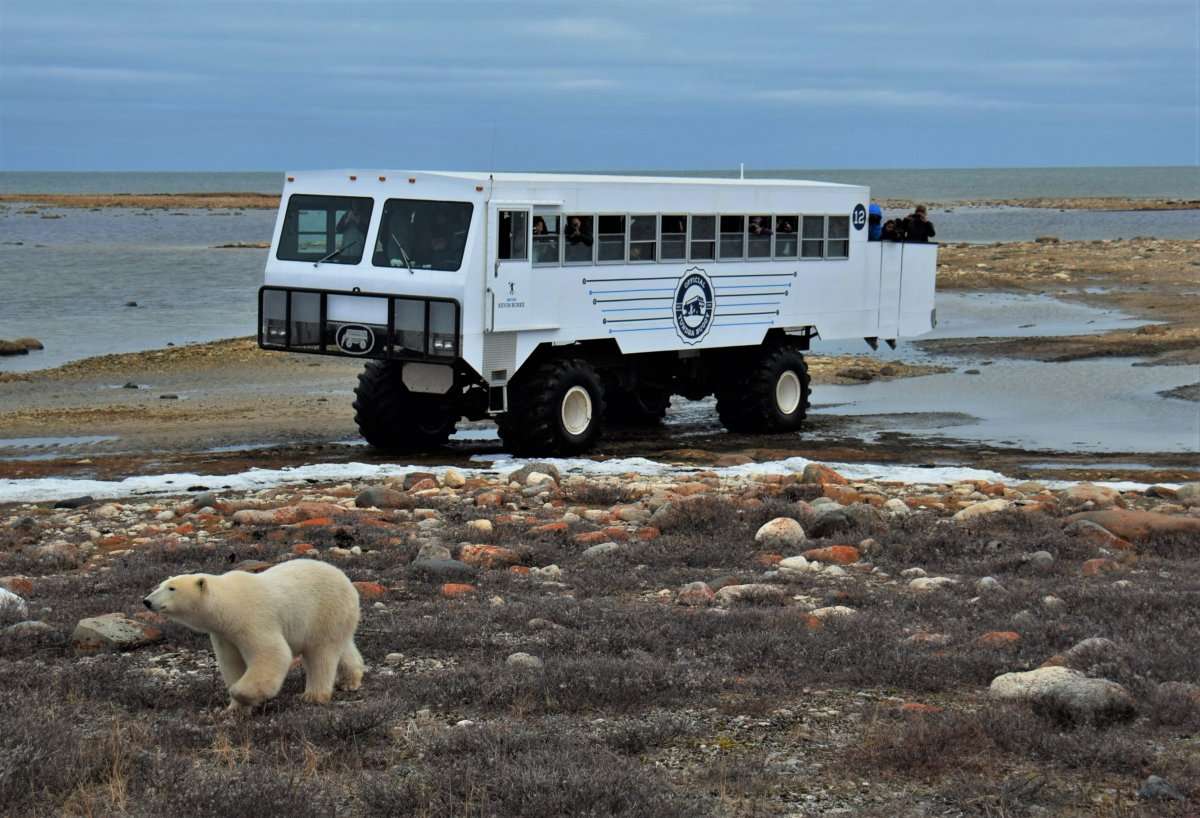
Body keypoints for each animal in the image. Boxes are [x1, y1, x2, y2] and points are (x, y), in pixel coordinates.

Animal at [144, 559, 364, 708]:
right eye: (160, 585)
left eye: (172, 588)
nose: (147, 601)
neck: (229, 604)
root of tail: (347, 582)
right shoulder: (224, 634)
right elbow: (232, 663)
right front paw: (234, 708)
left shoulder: (252, 619)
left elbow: (272, 654)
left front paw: (240, 693)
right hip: (339, 618)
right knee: (343, 647)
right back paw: (350, 681)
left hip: (324, 611)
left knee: (321, 654)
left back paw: (313, 695)